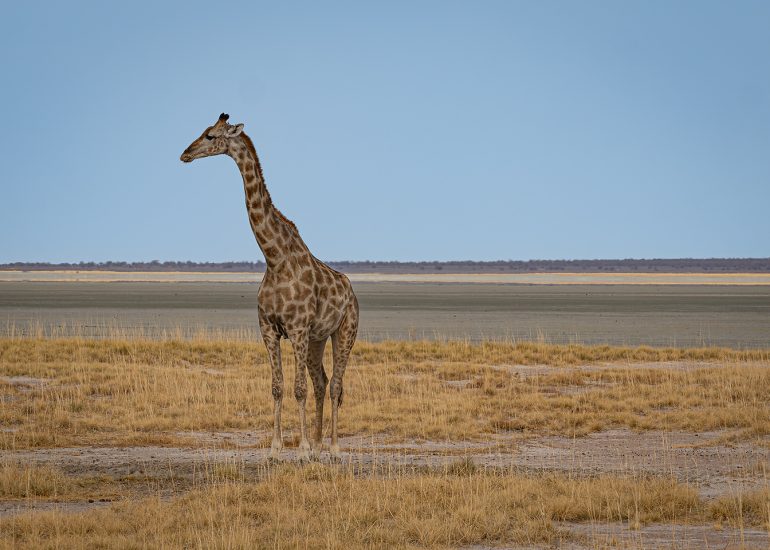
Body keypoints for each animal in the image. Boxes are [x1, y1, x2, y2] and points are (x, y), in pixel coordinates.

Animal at [180, 113, 359, 461]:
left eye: (210, 136)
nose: (185, 154)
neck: (274, 258)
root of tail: (352, 292)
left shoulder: (298, 328)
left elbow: (298, 389)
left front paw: (301, 449)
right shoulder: (268, 328)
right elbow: (277, 387)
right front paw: (277, 448)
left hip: (344, 331)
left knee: (335, 385)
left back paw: (332, 447)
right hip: (318, 338)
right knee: (321, 381)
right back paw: (319, 445)